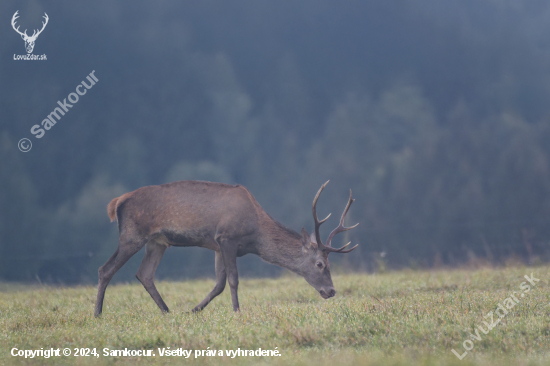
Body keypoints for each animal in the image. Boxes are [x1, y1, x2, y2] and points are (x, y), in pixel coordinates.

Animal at [94, 179, 362, 316]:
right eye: (320, 264)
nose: (331, 291)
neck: (255, 236)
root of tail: (117, 202)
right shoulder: (227, 238)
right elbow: (233, 279)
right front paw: (236, 311)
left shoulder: (216, 245)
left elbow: (219, 283)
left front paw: (194, 309)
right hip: (132, 235)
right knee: (106, 269)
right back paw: (97, 313)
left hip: (157, 242)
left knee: (144, 274)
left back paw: (168, 311)